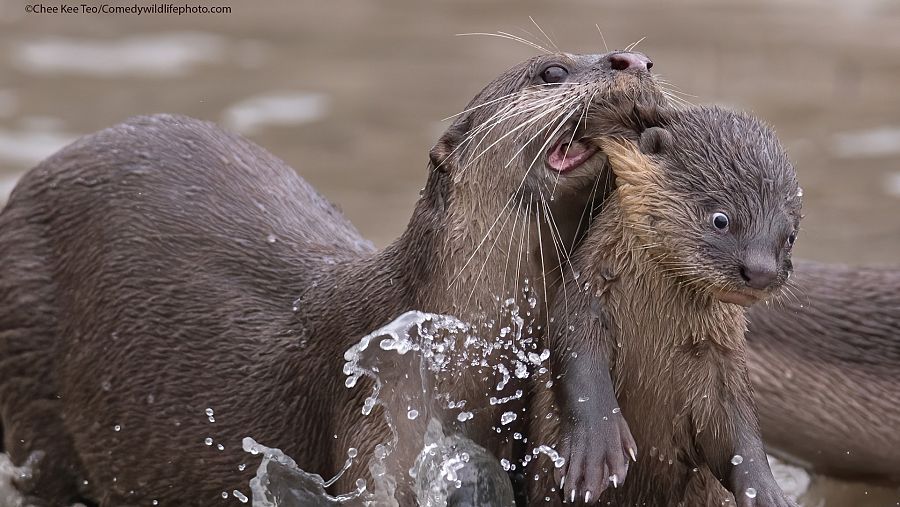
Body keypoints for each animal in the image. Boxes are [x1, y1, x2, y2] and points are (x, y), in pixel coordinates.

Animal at [532, 106, 800, 504]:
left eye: (790, 235)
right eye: (721, 219)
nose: (761, 271)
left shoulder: (721, 358)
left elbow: (739, 429)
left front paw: (767, 492)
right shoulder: (584, 299)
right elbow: (580, 364)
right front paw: (595, 453)